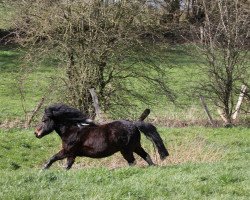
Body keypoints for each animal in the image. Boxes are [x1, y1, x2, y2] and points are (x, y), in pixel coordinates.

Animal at [34, 104, 169, 170]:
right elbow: (67, 166)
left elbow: (53, 158)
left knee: (132, 162)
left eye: (44, 120)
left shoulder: (68, 151)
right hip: (135, 146)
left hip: (126, 150)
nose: (36, 133)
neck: (72, 130)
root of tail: (134, 124)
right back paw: (153, 167)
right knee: (145, 156)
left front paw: (43, 170)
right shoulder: (72, 154)